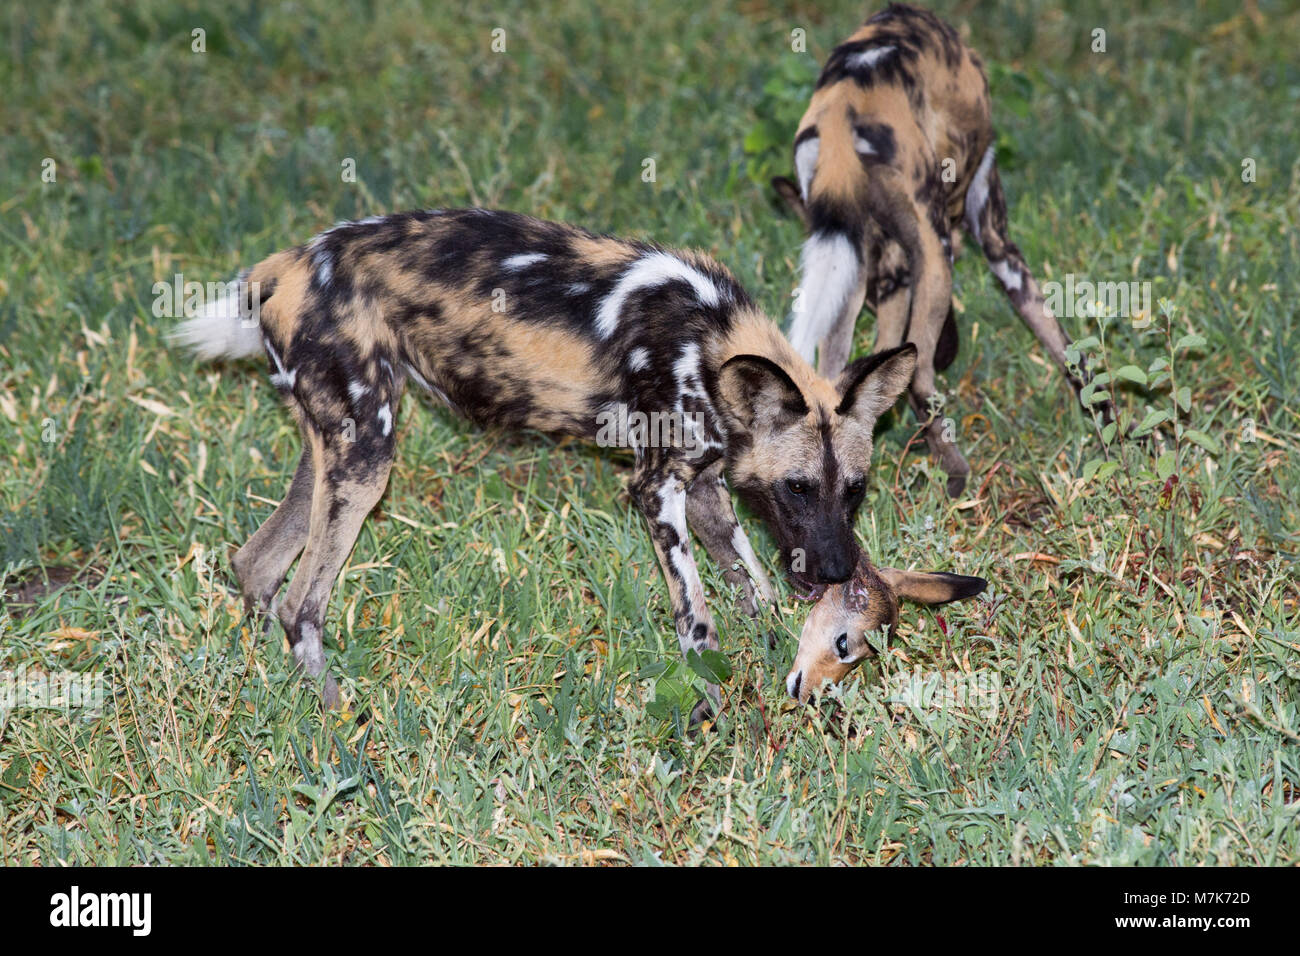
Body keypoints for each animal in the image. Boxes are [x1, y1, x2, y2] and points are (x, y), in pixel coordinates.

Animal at [172, 210, 920, 717]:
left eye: (854, 490)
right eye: (797, 488)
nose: (838, 571)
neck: (710, 343)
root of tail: (286, 265)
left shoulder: (707, 488)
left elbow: (754, 587)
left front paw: (773, 653)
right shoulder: (658, 491)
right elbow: (698, 620)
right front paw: (715, 702)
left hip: (337, 450)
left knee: (257, 566)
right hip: (366, 459)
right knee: (301, 605)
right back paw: (341, 721)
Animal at [769, 5, 1107, 502]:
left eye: (881, 293)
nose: (951, 351)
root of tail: (842, 107)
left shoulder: (890, 278)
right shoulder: (995, 244)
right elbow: (1069, 353)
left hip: (851, 265)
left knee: (832, 375)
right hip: (934, 251)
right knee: (920, 377)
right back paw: (958, 475)